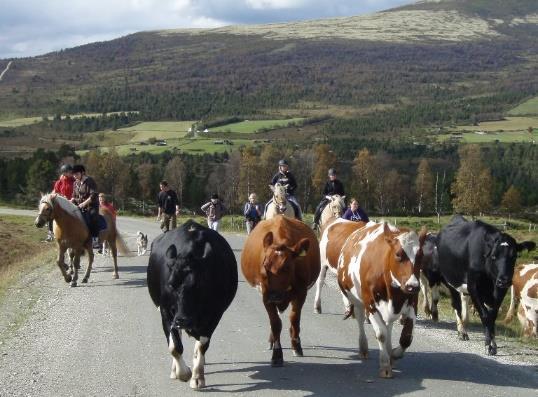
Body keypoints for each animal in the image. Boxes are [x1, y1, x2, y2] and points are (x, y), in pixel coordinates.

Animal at [148, 218, 238, 388]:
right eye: (171, 285)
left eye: (198, 285)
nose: (182, 320)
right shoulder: (165, 312)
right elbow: (175, 347)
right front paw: (183, 373)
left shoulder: (214, 314)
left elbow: (202, 345)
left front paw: (197, 377)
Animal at [241, 215, 320, 366]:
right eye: (265, 265)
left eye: (287, 267)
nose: (274, 296)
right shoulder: (265, 296)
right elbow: (275, 323)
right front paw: (277, 354)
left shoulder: (301, 293)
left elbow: (294, 319)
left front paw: (296, 346)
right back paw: (271, 340)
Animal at [338, 221, 426, 376]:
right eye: (398, 254)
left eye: (421, 255)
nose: (413, 286)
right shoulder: (370, 304)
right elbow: (381, 334)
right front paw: (385, 364)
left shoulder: (412, 304)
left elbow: (406, 337)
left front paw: (394, 354)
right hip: (357, 300)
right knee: (361, 320)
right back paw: (364, 348)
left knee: (388, 325)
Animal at [434, 215, 532, 354]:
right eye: (494, 256)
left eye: (514, 256)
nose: (504, 280)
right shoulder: (474, 287)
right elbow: (485, 315)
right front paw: (488, 345)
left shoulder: (499, 290)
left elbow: (492, 316)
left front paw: (493, 343)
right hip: (450, 281)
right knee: (457, 305)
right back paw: (462, 332)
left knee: (463, 300)